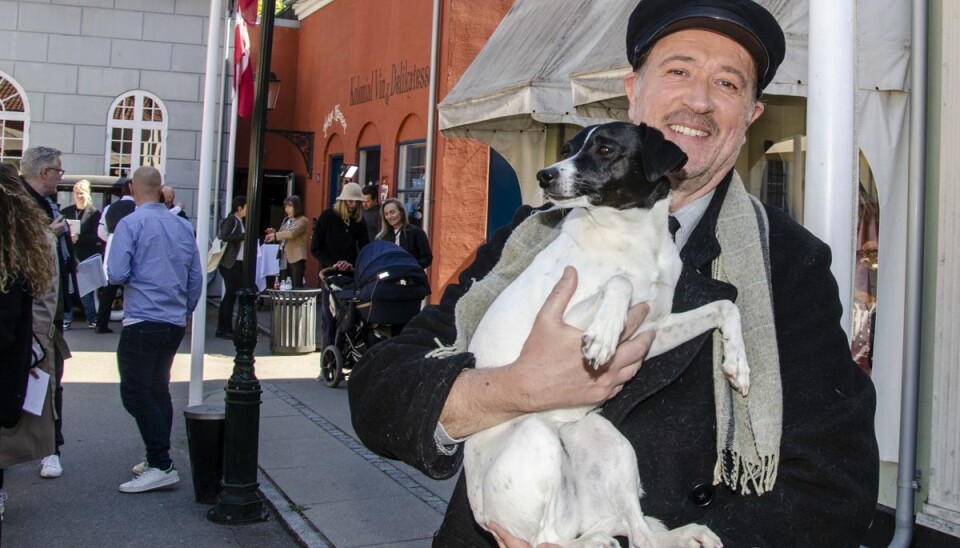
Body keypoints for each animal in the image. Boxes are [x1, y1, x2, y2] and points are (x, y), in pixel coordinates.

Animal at [464, 122, 752, 544]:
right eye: (566, 148)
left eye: (604, 149)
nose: (544, 175)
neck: (631, 237)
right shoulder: (563, 317)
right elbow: (619, 281)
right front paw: (602, 336)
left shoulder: (651, 330)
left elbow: (725, 307)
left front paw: (737, 364)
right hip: (537, 434)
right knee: (549, 538)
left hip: (606, 440)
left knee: (639, 533)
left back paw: (675, 535)